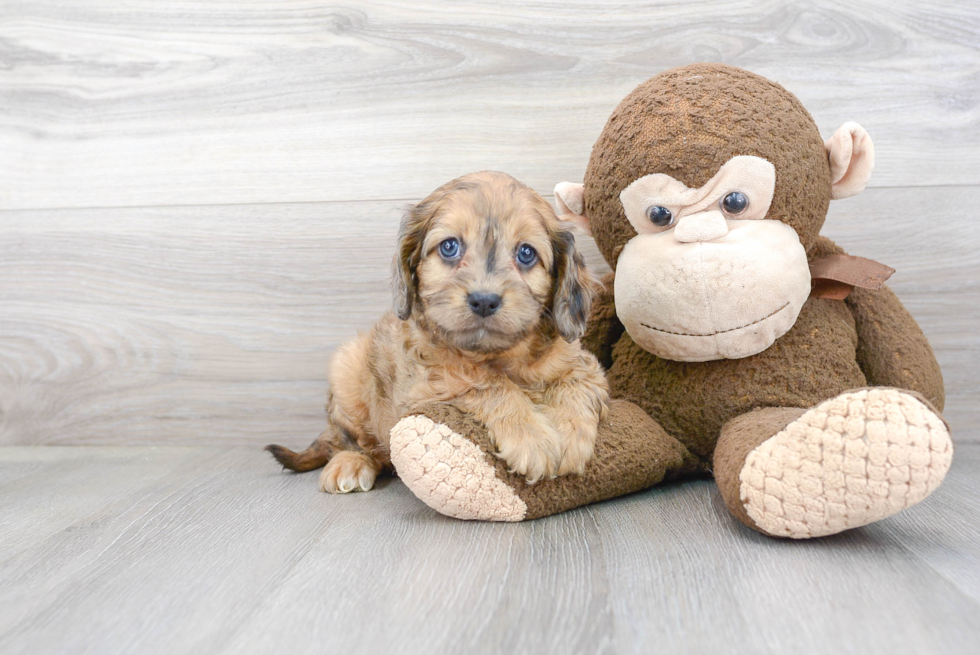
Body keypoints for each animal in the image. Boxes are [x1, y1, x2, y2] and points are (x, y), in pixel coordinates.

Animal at [264, 172, 608, 494]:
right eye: (449, 247)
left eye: (526, 253)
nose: (484, 300)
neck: (499, 355)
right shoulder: (429, 386)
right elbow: (486, 384)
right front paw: (530, 436)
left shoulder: (583, 365)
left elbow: (573, 383)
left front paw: (570, 433)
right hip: (347, 369)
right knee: (352, 443)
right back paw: (350, 463)